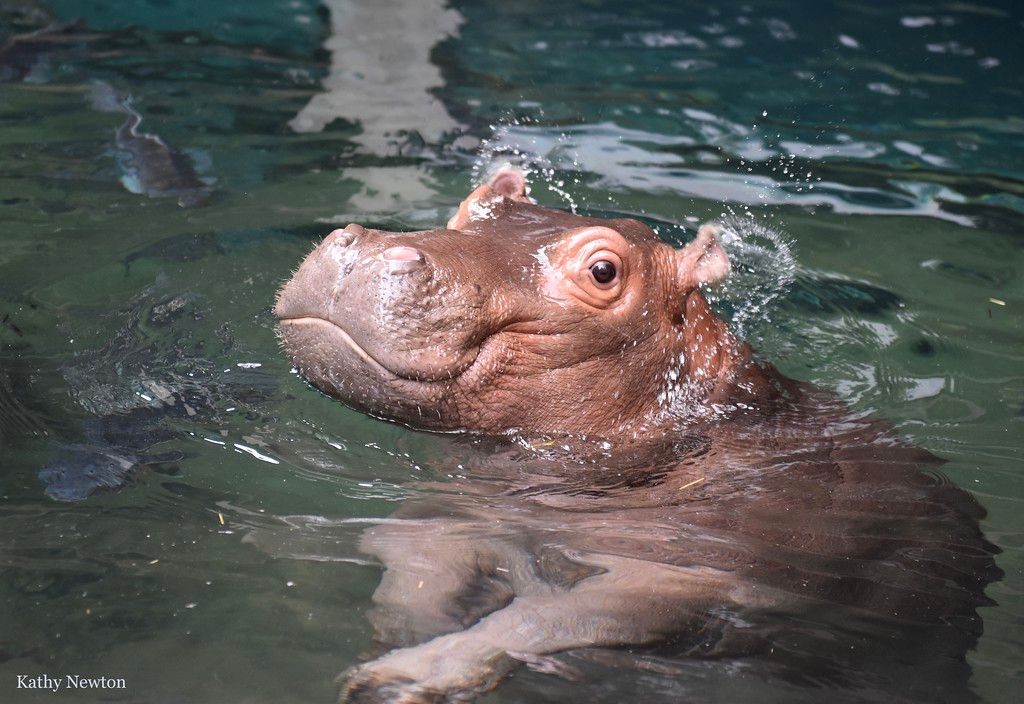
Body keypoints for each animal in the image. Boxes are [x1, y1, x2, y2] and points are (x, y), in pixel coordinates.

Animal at [274, 171, 999, 704]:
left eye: (603, 271)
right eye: (474, 203)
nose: (365, 249)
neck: (699, 406)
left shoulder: (696, 570)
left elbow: (548, 617)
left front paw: (412, 674)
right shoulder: (456, 509)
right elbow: (415, 560)